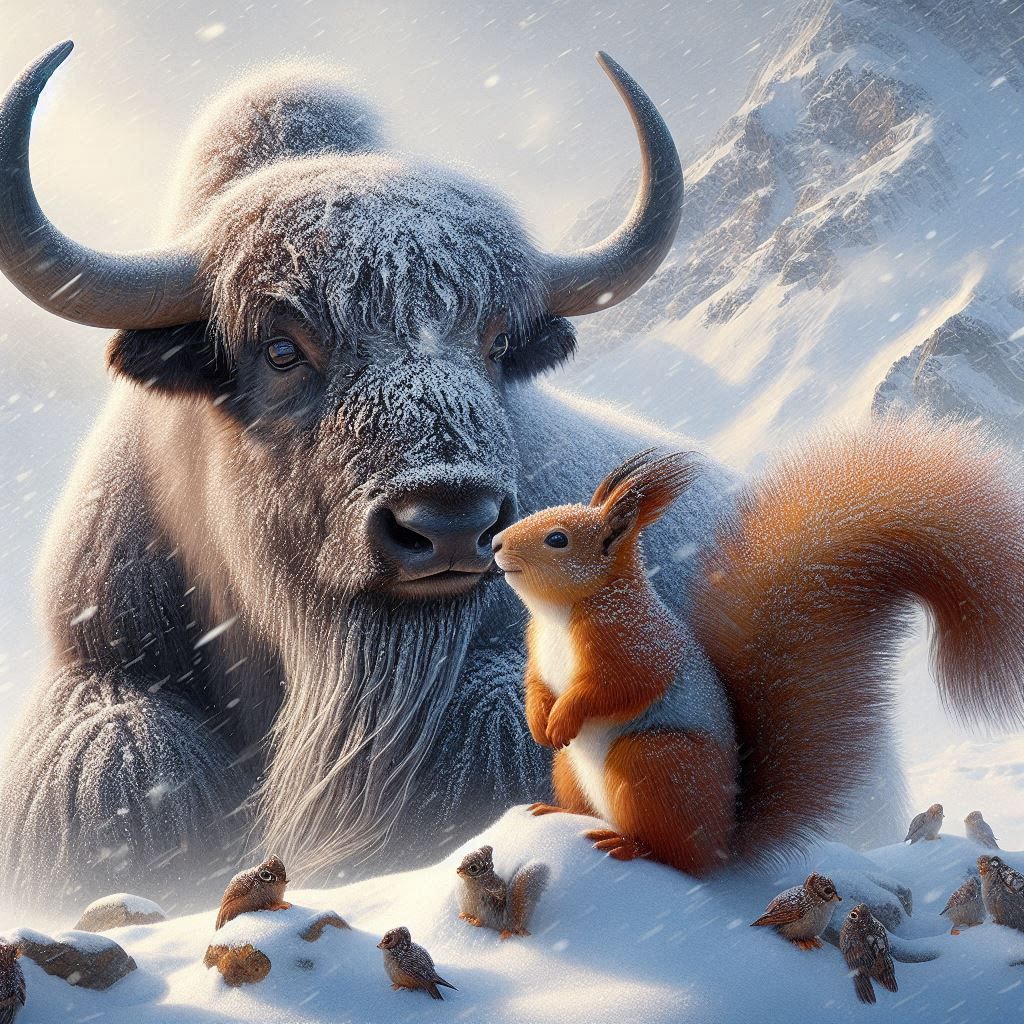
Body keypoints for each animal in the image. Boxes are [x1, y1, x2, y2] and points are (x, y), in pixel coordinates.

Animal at [492, 417, 1024, 876]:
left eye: (557, 539)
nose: (496, 544)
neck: (561, 614)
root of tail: (723, 843)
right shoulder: (536, 647)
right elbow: (536, 684)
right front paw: (540, 721)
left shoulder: (632, 641)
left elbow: (619, 686)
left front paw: (564, 716)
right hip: (574, 769)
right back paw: (552, 810)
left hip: (653, 760)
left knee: (678, 858)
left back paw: (628, 844)